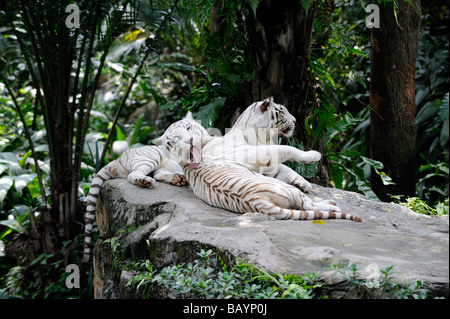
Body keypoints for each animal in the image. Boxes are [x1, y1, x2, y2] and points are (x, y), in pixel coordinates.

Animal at [153, 114, 364, 224]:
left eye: (188, 128)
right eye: (174, 140)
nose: (188, 141)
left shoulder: (264, 166)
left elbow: (283, 168)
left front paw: (303, 182)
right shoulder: (254, 153)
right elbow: (284, 149)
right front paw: (313, 155)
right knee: (308, 206)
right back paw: (332, 204)